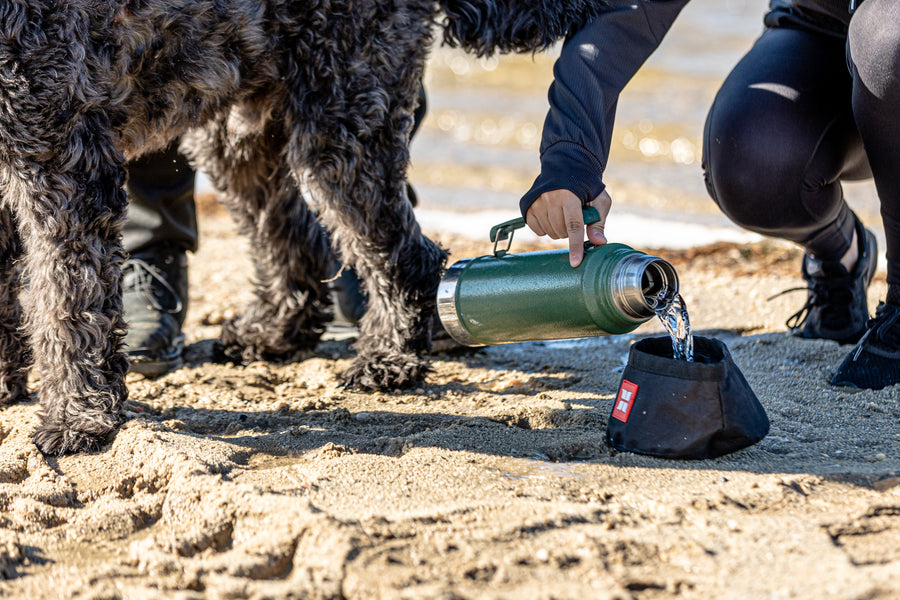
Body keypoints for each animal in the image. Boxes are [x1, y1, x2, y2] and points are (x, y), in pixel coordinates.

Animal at [1, 0, 604, 452]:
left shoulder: (65, 164)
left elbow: (69, 304)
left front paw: (78, 418)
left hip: (343, 120)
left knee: (404, 253)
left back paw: (390, 357)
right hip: (247, 132)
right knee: (290, 238)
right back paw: (277, 333)